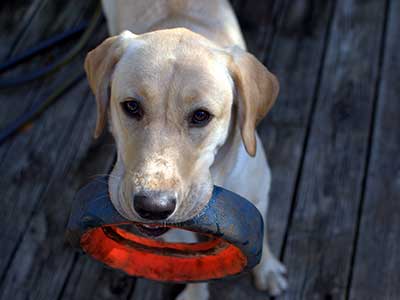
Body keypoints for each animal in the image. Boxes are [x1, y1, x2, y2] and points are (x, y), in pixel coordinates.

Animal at [85, 0, 288, 298]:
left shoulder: (259, 195)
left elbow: (264, 237)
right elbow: (193, 264)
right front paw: (195, 293)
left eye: (201, 116)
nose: (153, 207)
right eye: (131, 106)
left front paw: (269, 270)